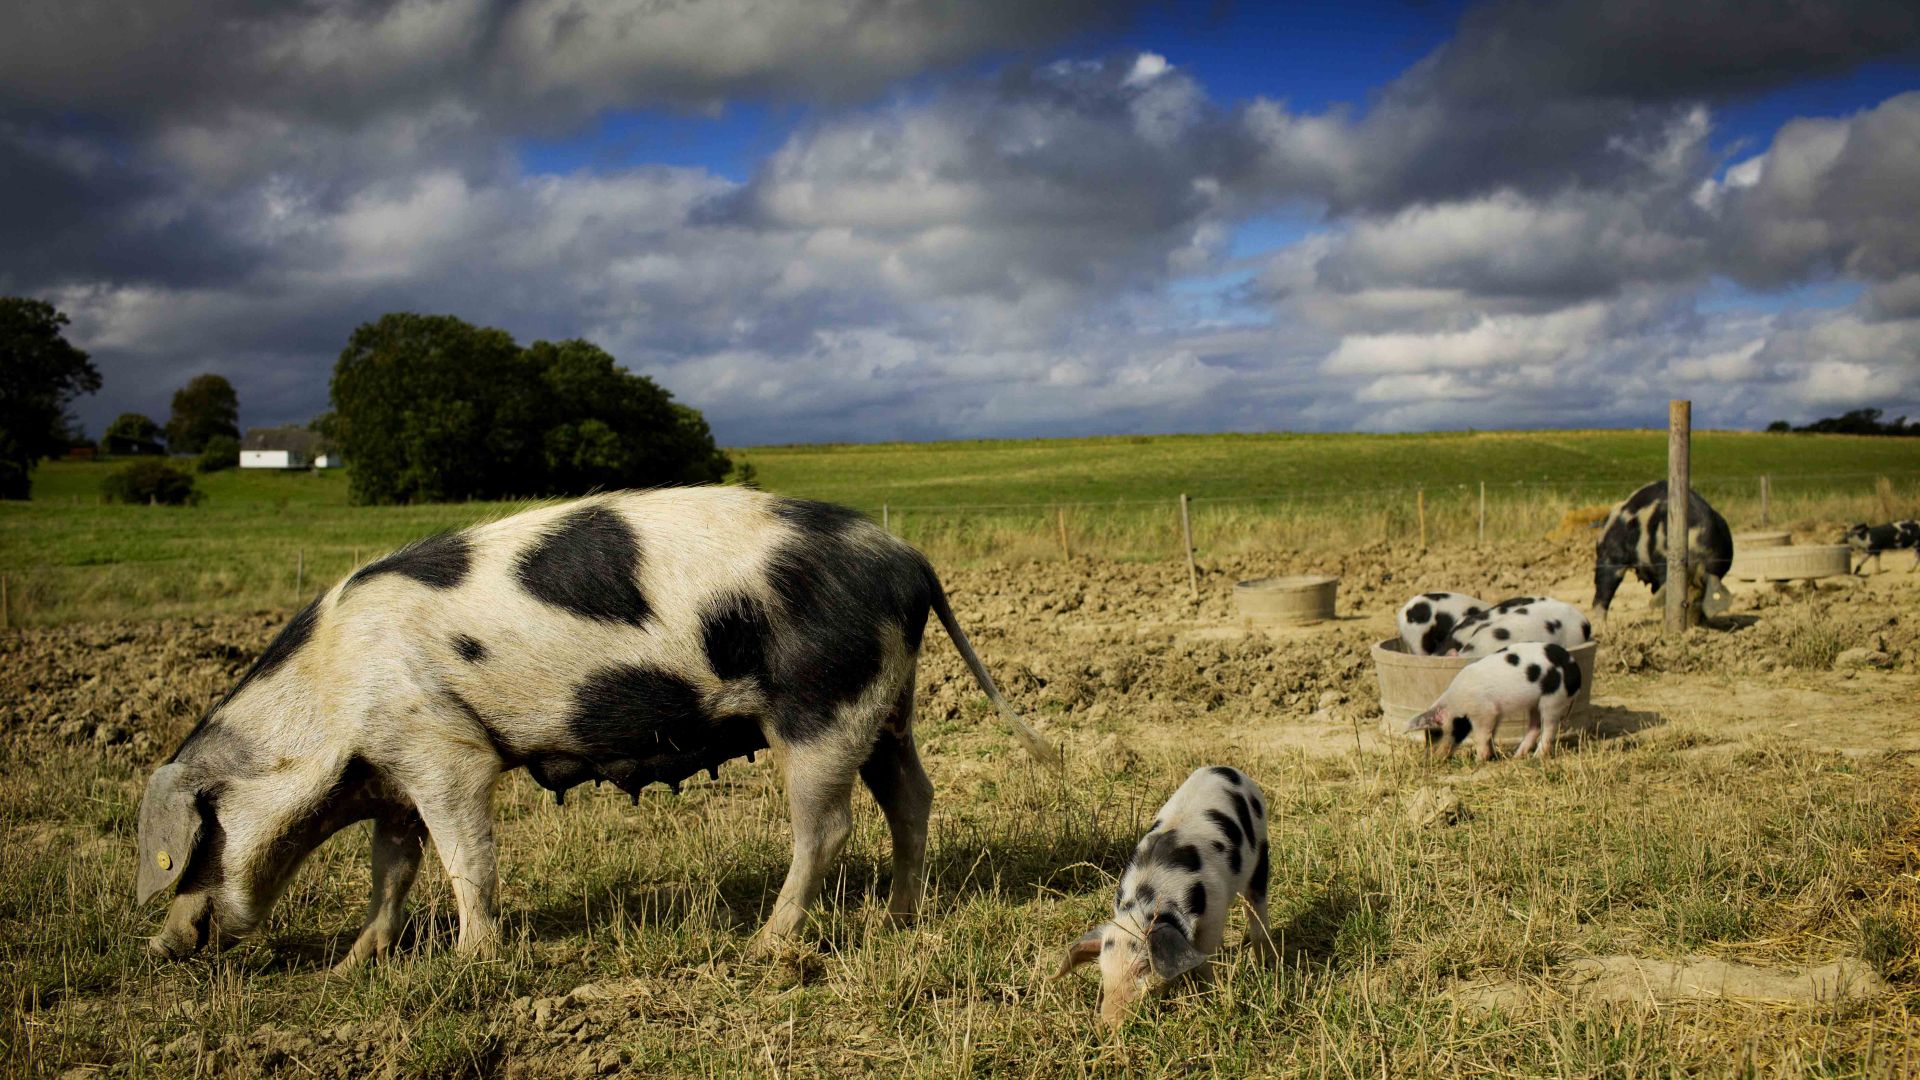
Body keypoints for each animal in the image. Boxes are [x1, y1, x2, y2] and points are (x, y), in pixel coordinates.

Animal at [131, 484, 1067, 960]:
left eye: (197, 843)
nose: (162, 945)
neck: (328, 706)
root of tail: (908, 560)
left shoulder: (444, 749)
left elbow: (466, 858)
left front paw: (471, 963)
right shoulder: (393, 776)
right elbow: (391, 871)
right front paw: (366, 959)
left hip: (820, 705)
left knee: (828, 826)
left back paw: (766, 947)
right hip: (885, 700)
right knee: (911, 796)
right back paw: (899, 920)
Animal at [1059, 760, 1267, 1022]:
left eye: (1142, 969)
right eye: (1103, 970)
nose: (1107, 1024)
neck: (1146, 901)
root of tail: (1223, 768)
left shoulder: (1213, 910)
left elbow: (1205, 958)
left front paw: (1208, 996)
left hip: (1261, 850)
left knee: (1257, 906)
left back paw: (1266, 963)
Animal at [1405, 641, 1582, 760]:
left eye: (1435, 733)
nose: (1429, 759)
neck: (1458, 704)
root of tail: (1574, 668)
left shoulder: (1484, 712)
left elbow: (1482, 736)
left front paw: (1479, 760)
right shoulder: (1495, 714)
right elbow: (1491, 735)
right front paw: (1492, 756)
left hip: (1553, 699)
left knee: (1549, 729)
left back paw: (1536, 757)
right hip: (1535, 702)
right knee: (1535, 726)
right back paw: (1516, 756)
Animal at [1589, 478, 1743, 622]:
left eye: (1698, 601)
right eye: (1683, 603)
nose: (1690, 627)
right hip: (1608, 554)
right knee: (1603, 589)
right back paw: (1601, 625)